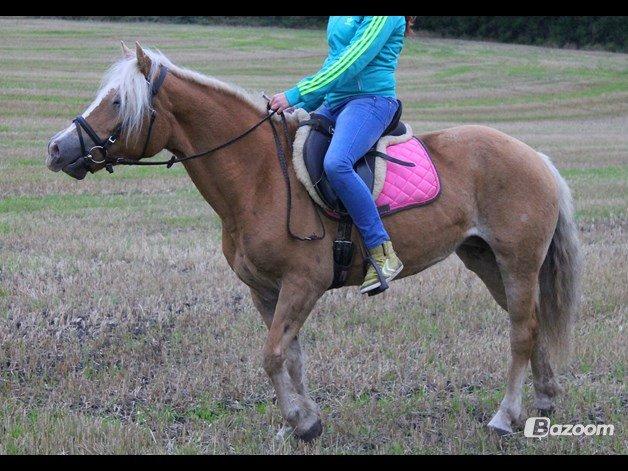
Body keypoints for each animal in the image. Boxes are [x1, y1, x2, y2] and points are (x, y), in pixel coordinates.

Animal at [45, 42, 584, 440]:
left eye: (118, 101)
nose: (56, 148)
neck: (259, 176)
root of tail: (535, 157)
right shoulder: (266, 290)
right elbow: (290, 355)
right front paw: (304, 421)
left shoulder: (304, 283)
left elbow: (271, 355)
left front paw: (300, 422)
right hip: (485, 261)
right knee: (532, 324)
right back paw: (542, 403)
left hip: (516, 261)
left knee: (520, 332)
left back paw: (504, 417)